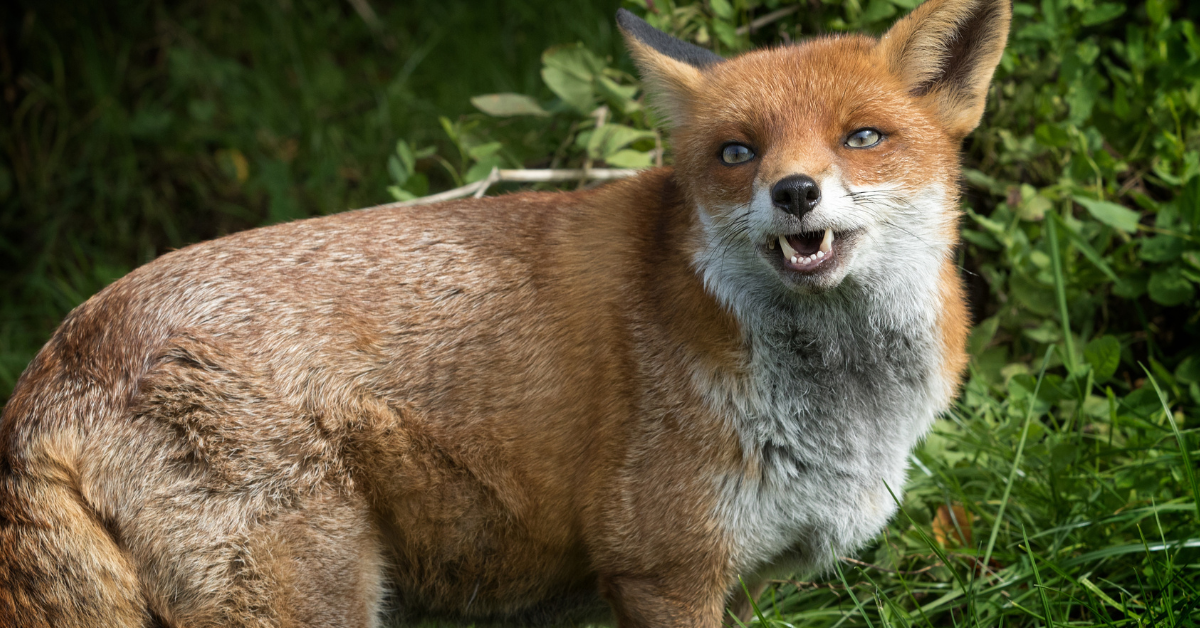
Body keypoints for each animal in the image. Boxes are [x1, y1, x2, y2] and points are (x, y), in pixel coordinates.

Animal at [0, 1, 1009, 626]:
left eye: (863, 137)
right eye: (736, 153)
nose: (795, 192)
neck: (837, 401)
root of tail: (60, 354)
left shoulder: (740, 578)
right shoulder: (665, 569)